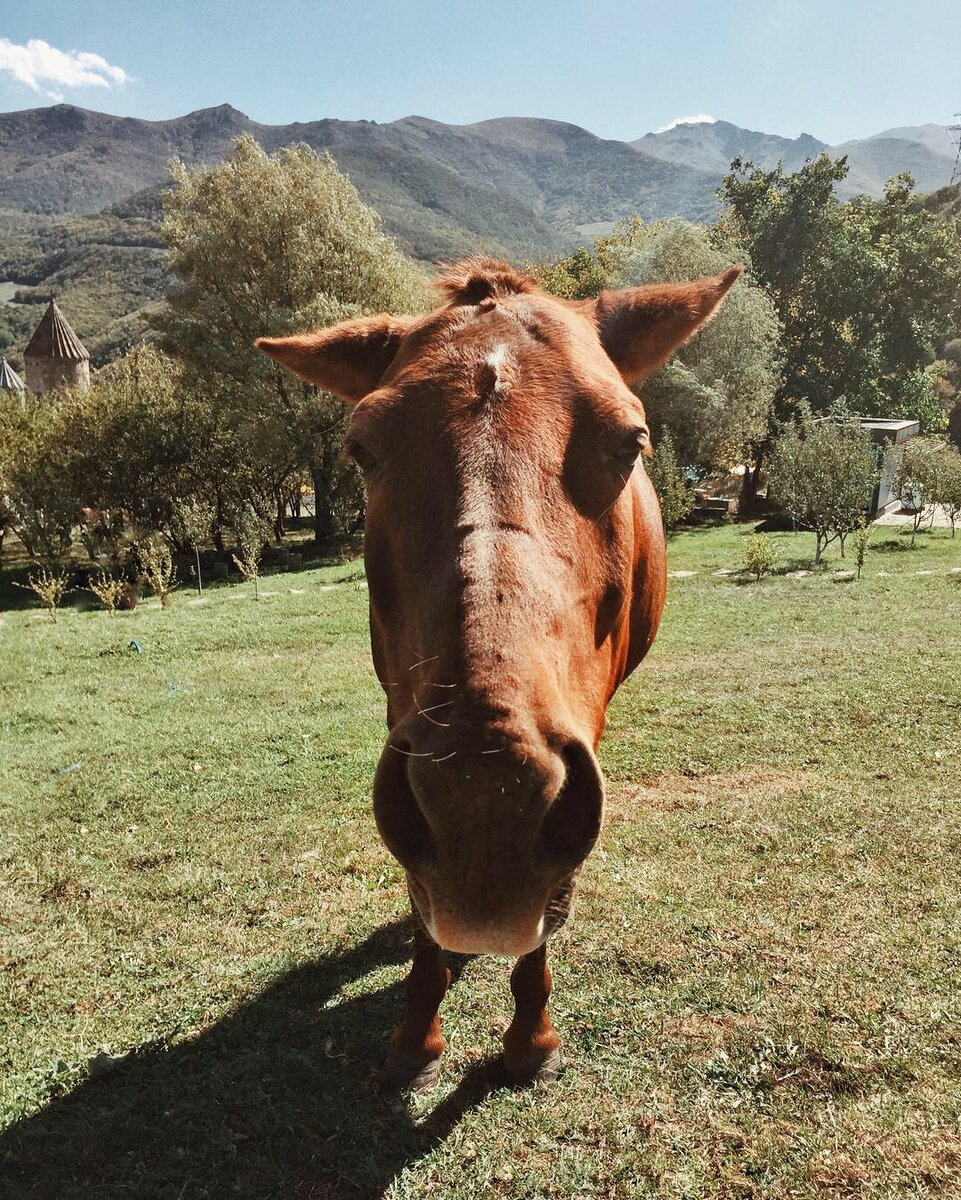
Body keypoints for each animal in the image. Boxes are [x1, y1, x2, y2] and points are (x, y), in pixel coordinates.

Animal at [253, 260, 734, 1089]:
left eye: (630, 441)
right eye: (361, 449)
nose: (484, 800)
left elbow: (547, 906)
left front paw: (529, 1038)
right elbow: (422, 906)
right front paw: (417, 1032)